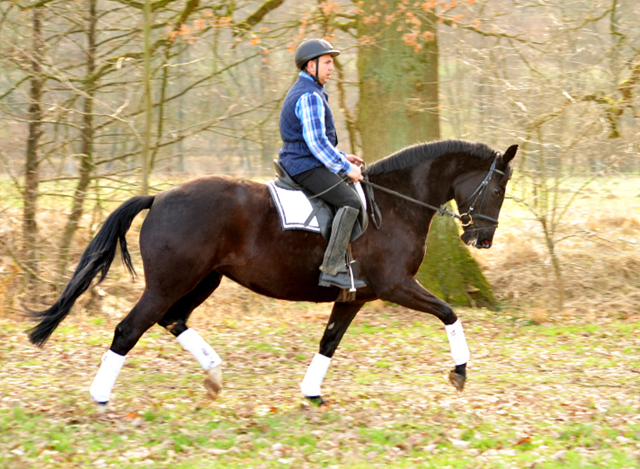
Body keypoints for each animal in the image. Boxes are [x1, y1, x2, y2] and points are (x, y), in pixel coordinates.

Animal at [30, 138, 516, 406]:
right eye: (497, 188)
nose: (483, 241)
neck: (396, 204)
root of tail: (160, 198)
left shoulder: (354, 296)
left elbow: (329, 342)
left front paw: (311, 392)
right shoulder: (396, 285)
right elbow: (449, 313)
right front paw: (460, 371)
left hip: (203, 280)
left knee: (173, 319)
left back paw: (214, 375)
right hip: (170, 282)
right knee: (129, 329)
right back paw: (100, 397)